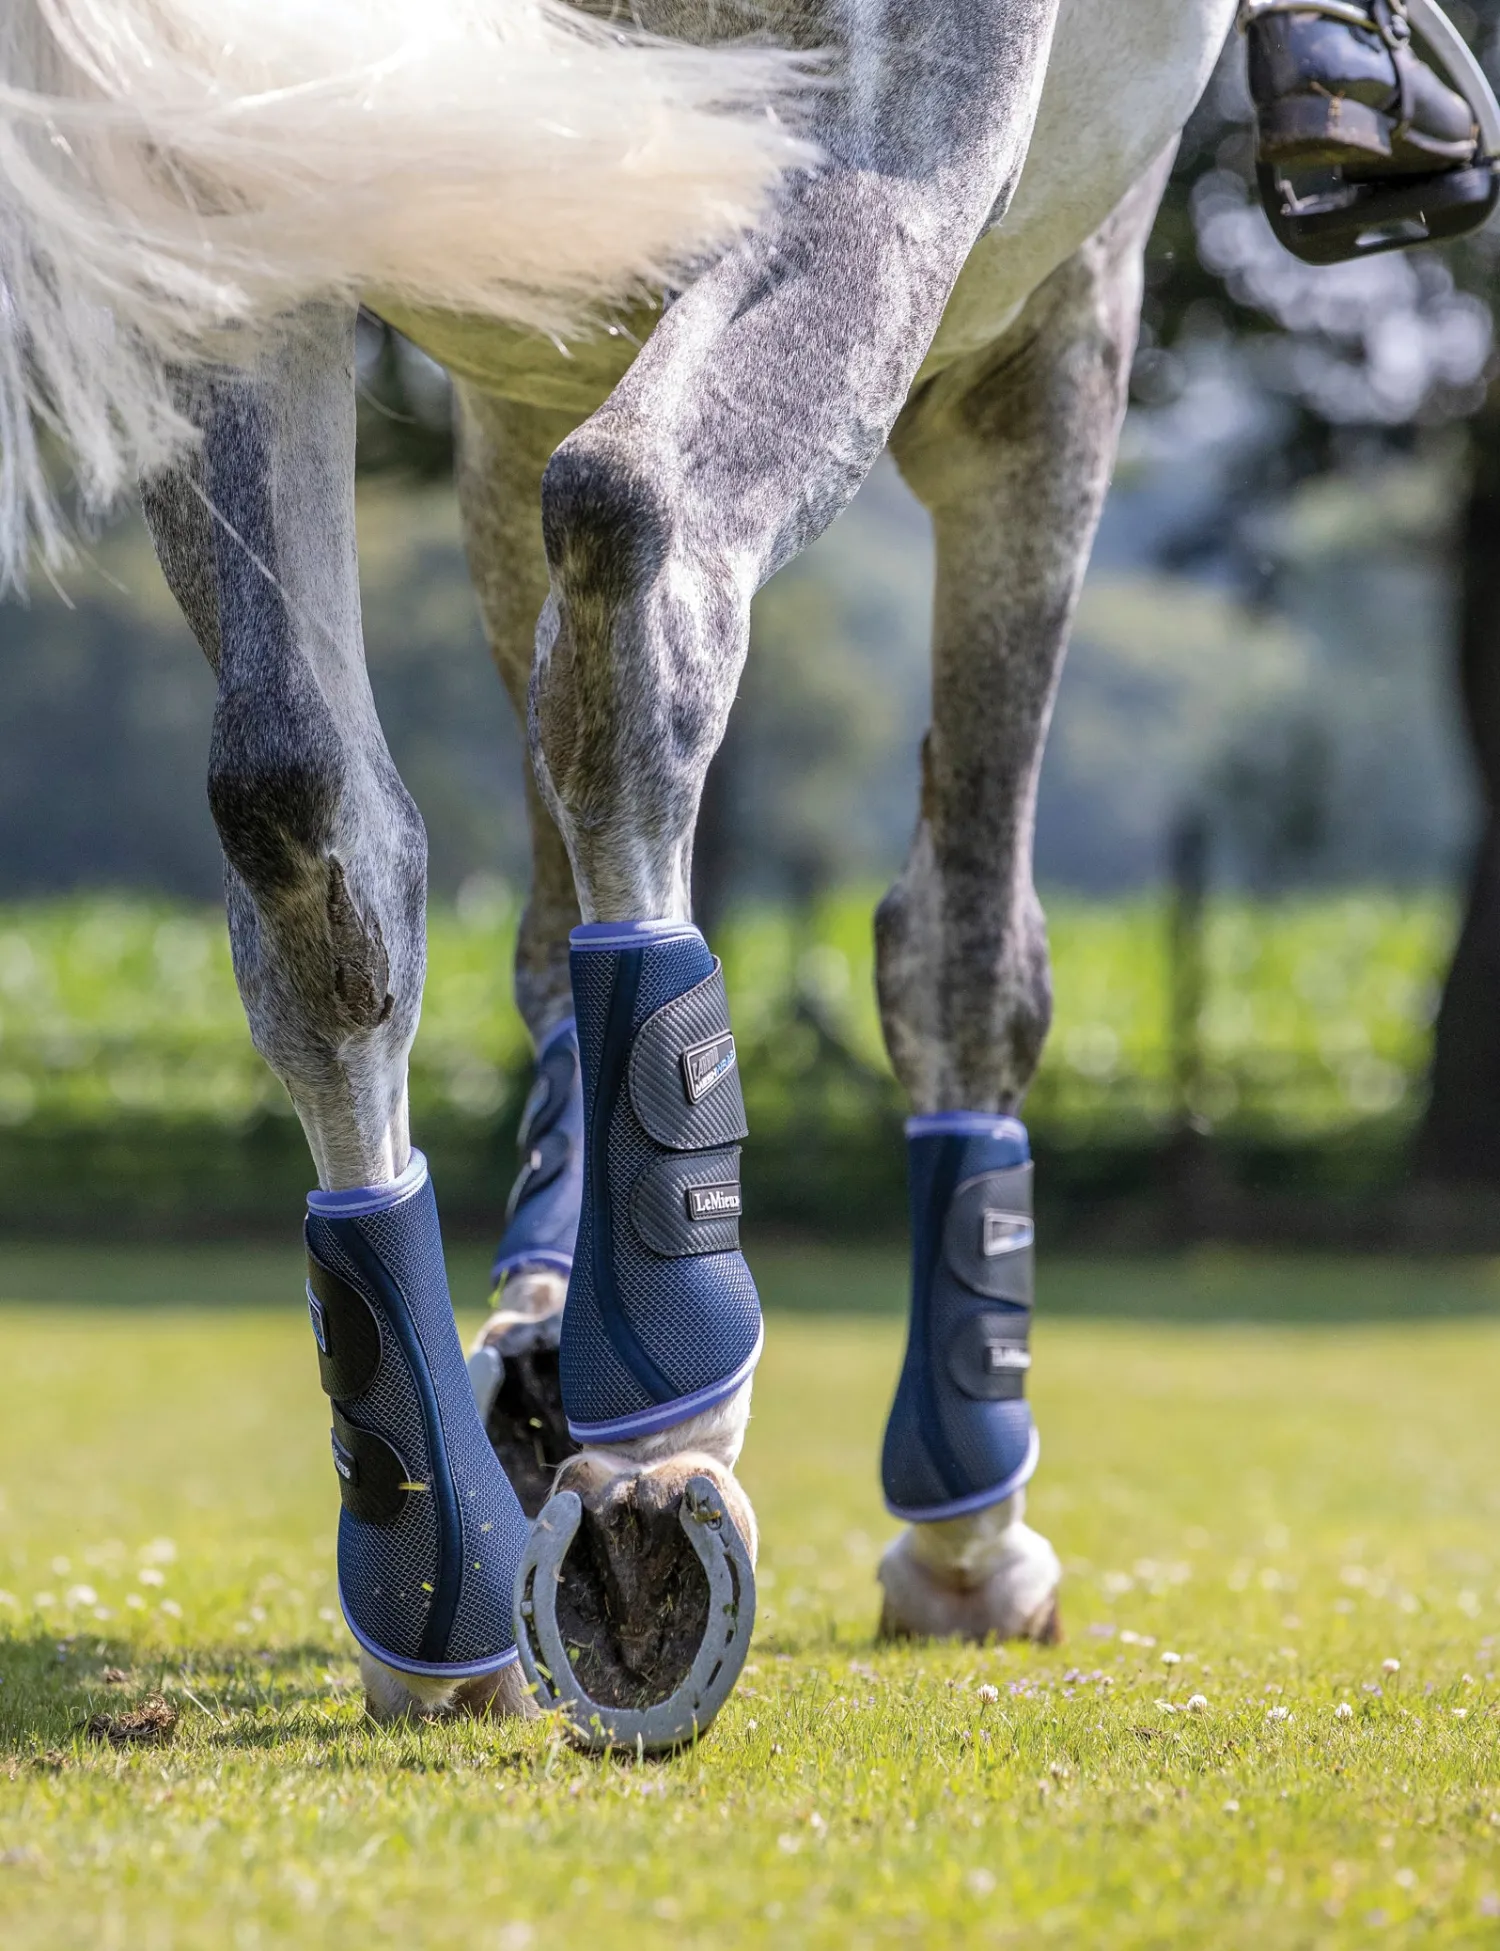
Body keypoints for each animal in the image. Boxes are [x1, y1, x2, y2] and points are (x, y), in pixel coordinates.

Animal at [1, 0, 1236, 1748]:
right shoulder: (1057, 330)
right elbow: (967, 947)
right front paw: (963, 1526)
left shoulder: (522, 315)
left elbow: (519, 921)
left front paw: (534, 1340)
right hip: (887, 147)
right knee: (643, 545)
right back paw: (664, 1434)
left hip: (247, 220)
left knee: (306, 808)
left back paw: (443, 1549)